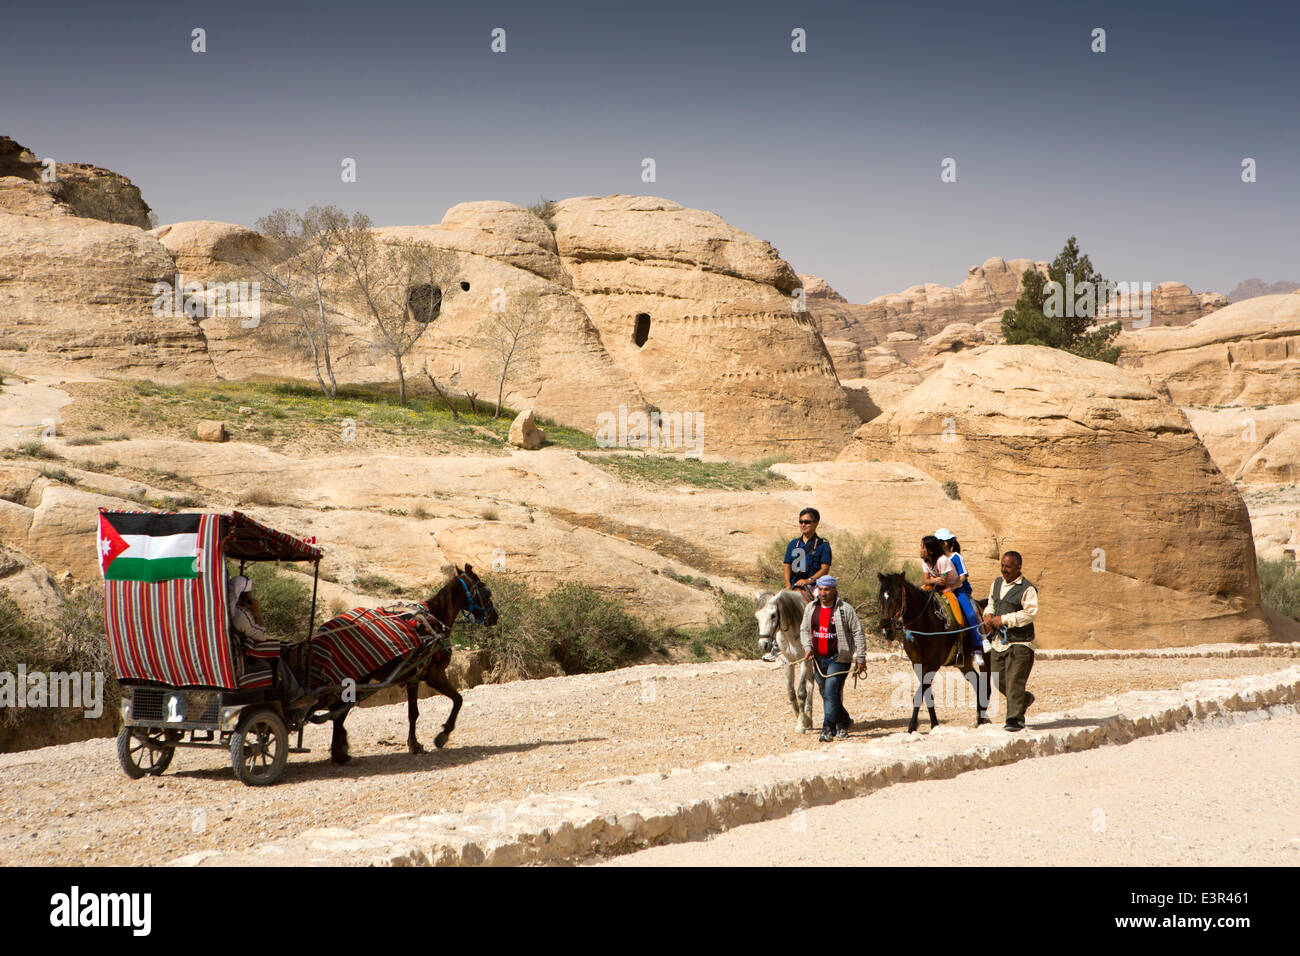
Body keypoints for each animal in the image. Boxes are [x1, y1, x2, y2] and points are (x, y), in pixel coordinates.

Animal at [315, 567, 496, 764]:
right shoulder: (434, 676)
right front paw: (441, 736)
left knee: (337, 711)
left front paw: (414, 744)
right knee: (338, 712)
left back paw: (339, 751)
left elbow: (413, 713)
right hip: (357, 678)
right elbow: (457, 700)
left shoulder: (413, 678)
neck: (434, 621)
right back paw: (340, 753)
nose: (494, 617)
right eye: (485, 592)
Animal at [754, 590, 811, 733]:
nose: (763, 645)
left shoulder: (804, 660)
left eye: (773, 615)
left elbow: (801, 692)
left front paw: (801, 724)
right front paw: (799, 716)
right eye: (757, 617)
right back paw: (809, 719)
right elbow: (790, 692)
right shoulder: (787, 662)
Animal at [878, 574, 987, 733]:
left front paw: (911, 727)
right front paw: (934, 724)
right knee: (977, 681)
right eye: (880, 597)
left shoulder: (933, 664)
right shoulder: (917, 664)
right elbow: (927, 694)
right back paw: (980, 720)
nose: (886, 629)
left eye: (898, 597)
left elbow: (919, 695)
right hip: (964, 663)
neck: (924, 624)